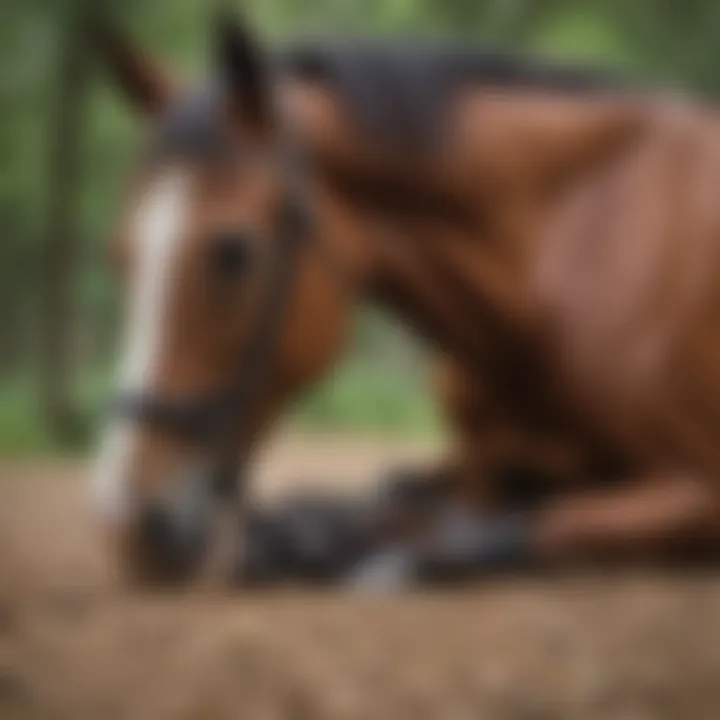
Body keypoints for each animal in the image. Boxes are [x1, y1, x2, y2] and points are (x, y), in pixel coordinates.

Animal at [91, 11, 720, 584]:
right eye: (120, 253)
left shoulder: (700, 492)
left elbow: (497, 533)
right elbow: (384, 498)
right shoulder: (481, 469)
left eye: (233, 252)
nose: (124, 522)